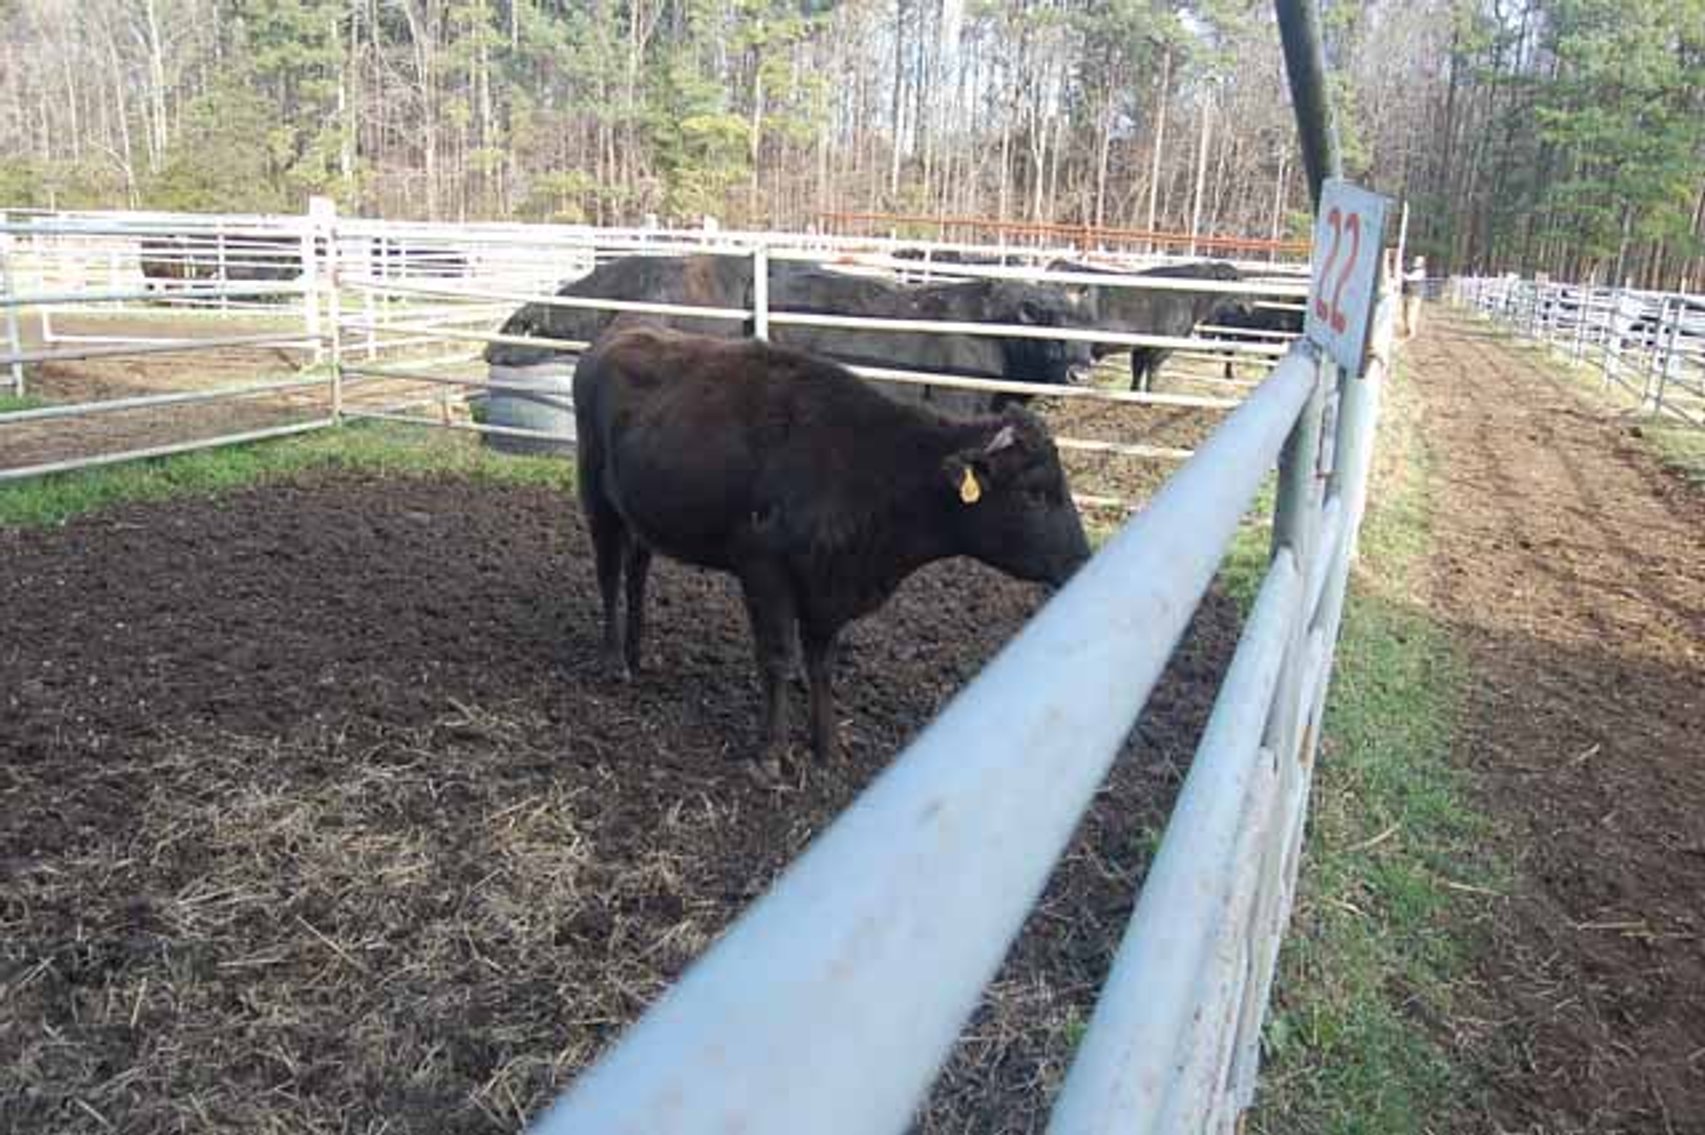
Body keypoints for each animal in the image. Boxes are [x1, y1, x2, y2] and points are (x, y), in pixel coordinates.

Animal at [573, 326, 1092, 782]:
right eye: (1034, 493)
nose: (1082, 561)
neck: (872, 468)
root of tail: (616, 336)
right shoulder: (764, 569)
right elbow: (778, 657)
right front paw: (771, 754)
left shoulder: (826, 589)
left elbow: (822, 665)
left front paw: (828, 748)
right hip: (597, 498)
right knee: (608, 573)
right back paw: (613, 661)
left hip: (642, 514)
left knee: (637, 571)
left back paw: (639, 653)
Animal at [1049, 259, 1250, 391]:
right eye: (1235, 279)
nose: (1250, 305)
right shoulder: (1161, 347)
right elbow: (1152, 373)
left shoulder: (1140, 347)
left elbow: (1137, 371)